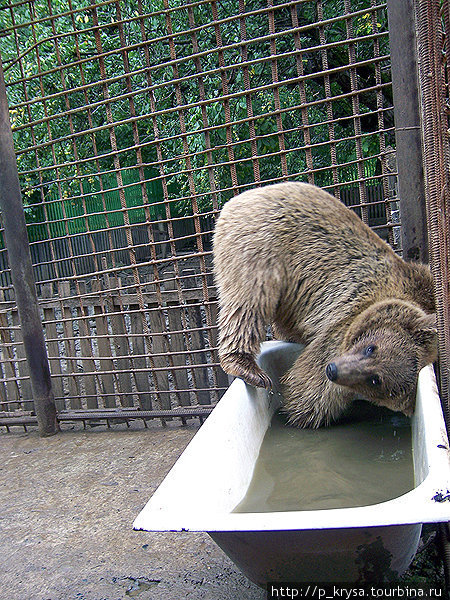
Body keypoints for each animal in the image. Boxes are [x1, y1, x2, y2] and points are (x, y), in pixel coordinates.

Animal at [213, 180, 438, 428]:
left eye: (375, 381)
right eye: (371, 348)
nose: (334, 370)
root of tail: (246, 194)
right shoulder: (344, 323)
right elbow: (308, 384)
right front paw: (298, 409)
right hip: (261, 246)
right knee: (248, 304)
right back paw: (248, 368)